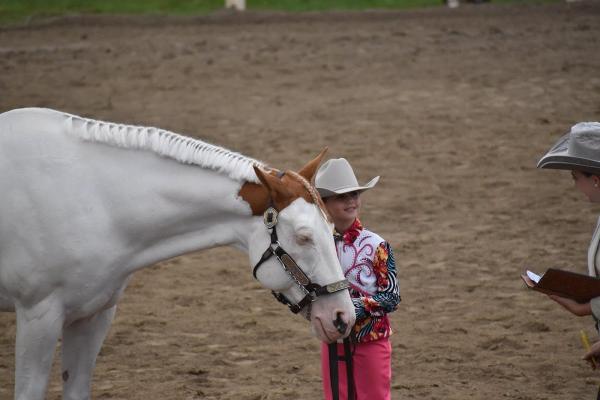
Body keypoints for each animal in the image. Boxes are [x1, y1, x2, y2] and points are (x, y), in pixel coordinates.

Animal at [0, 108, 356, 400]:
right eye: (304, 236)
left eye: (332, 229)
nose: (343, 318)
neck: (94, 197)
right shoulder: (39, 317)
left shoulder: (94, 314)